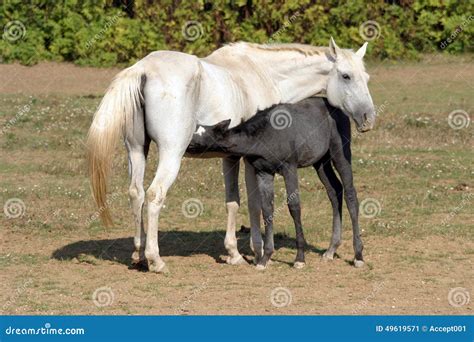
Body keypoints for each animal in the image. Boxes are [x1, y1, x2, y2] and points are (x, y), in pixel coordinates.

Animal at [187, 97, 364, 270]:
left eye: (199, 136)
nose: (185, 144)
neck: (265, 136)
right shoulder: (263, 172)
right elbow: (266, 209)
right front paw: (264, 258)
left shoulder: (289, 167)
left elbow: (294, 206)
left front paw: (299, 258)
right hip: (321, 162)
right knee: (335, 191)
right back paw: (331, 249)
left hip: (340, 153)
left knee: (350, 194)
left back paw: (358, 256)